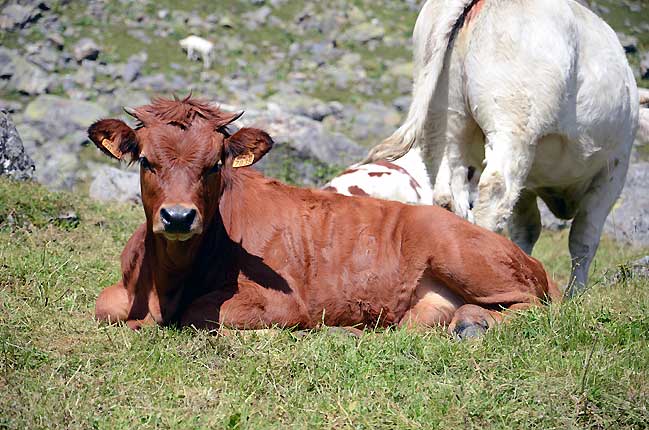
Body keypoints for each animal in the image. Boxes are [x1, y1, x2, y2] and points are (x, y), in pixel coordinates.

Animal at [87, 95, 560, 338]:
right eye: (146, 161)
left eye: (214, 164)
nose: (179, 217)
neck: (165, 285)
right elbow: (103, 305)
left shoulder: (283, 303)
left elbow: (201, 315)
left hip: (461, 253)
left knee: (536, 307)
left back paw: (474, 323)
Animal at [364, 0, 636, 294]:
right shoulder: (614, 169)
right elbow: (584, 237)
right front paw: (575, 295)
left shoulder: (529, 183)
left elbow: (526, 229)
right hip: (513, 124)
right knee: (494, 192)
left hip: (444, 119)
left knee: (448, 195)